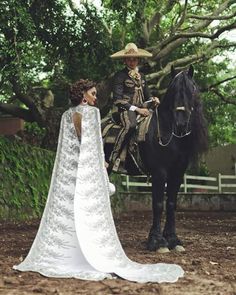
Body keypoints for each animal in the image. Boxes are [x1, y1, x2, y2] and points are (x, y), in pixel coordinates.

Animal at [104, 66, 207, 253]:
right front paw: (157, 241)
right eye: (173, 90)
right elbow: (158, 204)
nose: (181, 124)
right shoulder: (160, 173)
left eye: (192, 90)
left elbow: (171, 203)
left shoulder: (177, 173)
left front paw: (173, 239)